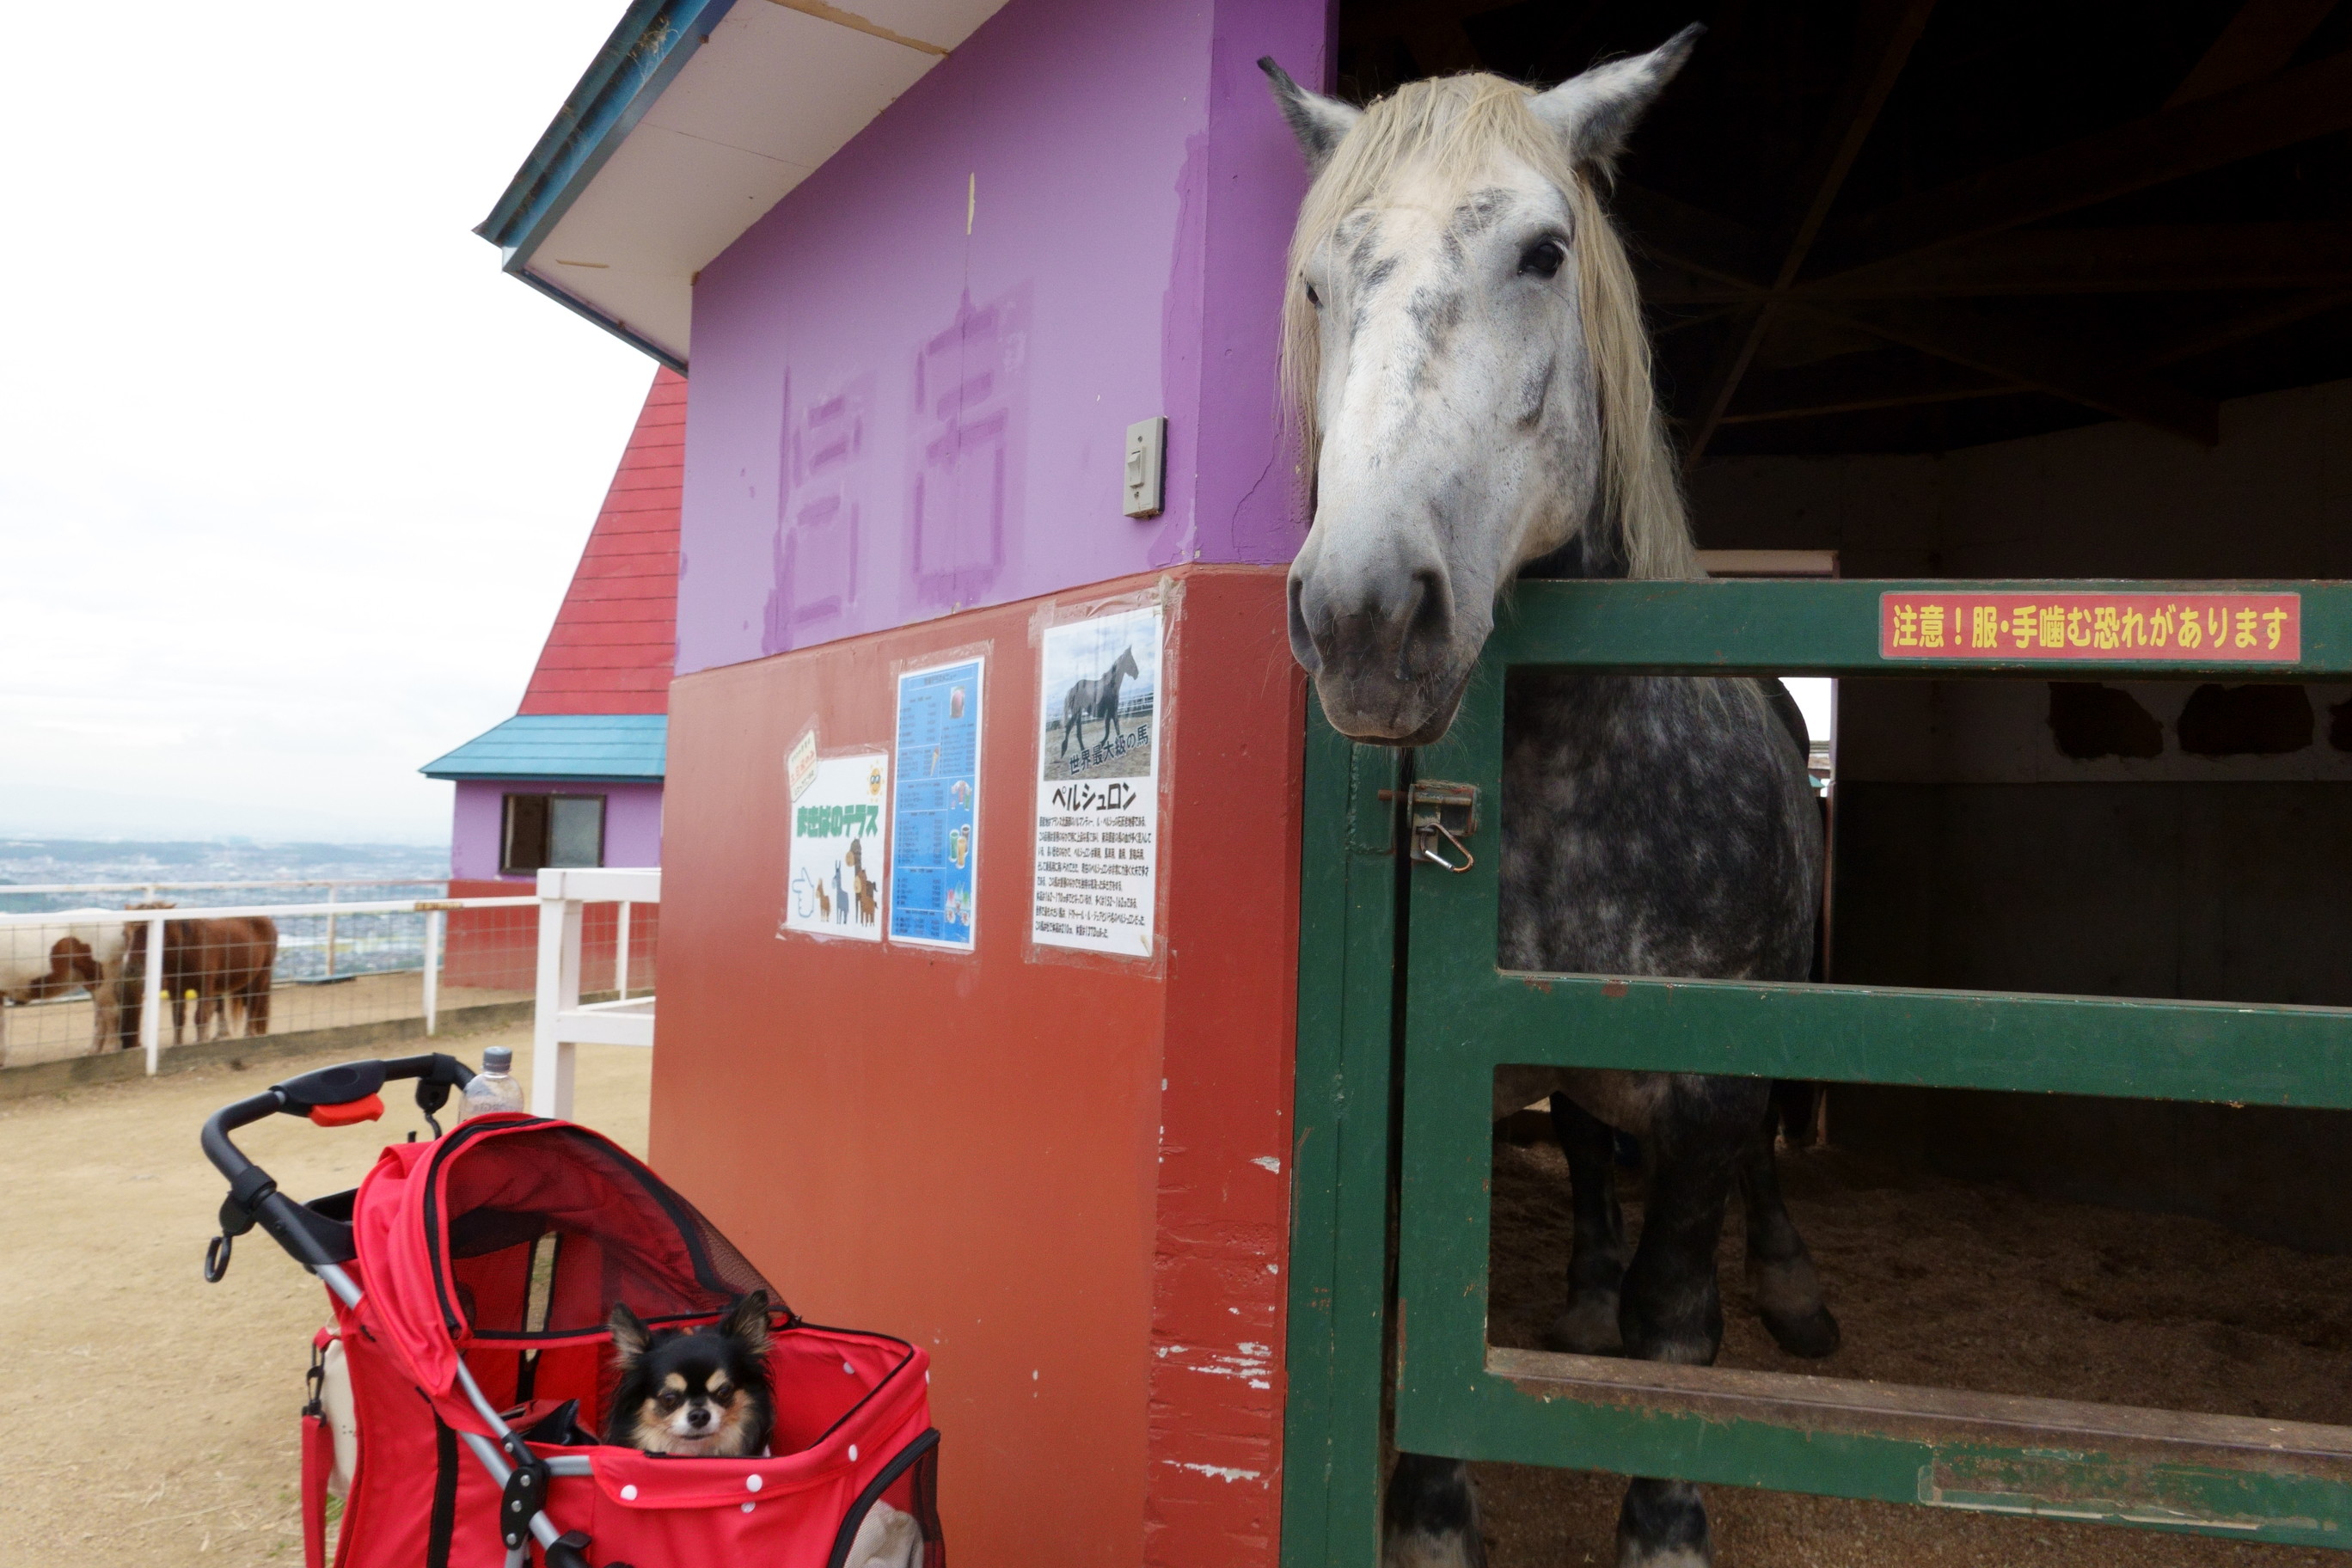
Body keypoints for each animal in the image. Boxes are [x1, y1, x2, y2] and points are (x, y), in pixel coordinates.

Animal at [1270, 28, 1834, 1568]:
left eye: (1541, 252)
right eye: (1319, 283)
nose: (1361, 617)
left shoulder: (1709, 1091)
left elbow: (1676, 1328)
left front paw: (1665, 1523)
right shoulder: (1433, 1078)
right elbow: (1432, 1315)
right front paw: (1430, 1521)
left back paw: (1796, 1289)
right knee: (1584, 1149)